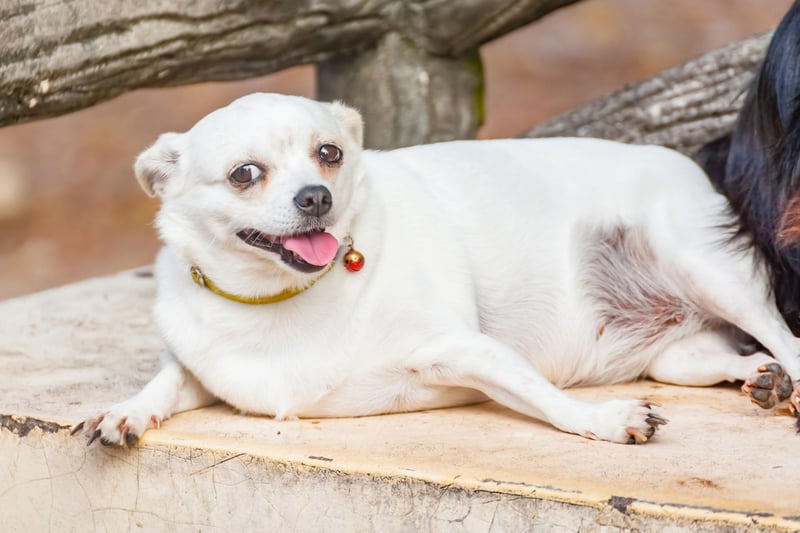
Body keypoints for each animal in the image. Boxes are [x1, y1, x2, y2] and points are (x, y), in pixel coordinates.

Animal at [73, 92, 800, 444]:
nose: (316, 196)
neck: (284, 301)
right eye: (244, 174)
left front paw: (603, 421)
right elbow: (167, 381)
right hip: (674, 353)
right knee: (726, 354)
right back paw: (762, 380)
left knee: (782, 333)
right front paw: (124, 412)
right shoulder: (206, 373)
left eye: (330, 153)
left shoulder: (465, 349)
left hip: (709, 269)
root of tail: (683, 161)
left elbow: (547, 399)